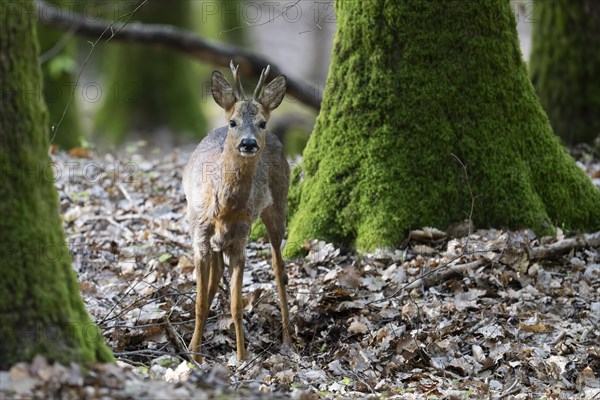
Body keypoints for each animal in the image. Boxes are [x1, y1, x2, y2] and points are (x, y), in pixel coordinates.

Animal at [184, 60, 292, 362]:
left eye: (262, 123)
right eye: (233, 122)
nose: (248, 143)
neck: (223, 208)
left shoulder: (241, 239)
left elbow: (236, 305)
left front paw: (242, 358)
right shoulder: (200, 236)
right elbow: (199, 301)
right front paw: (194, 354)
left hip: (278, 204)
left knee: (279, 268)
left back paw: (289, 339)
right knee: (214, 277)